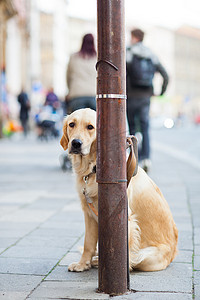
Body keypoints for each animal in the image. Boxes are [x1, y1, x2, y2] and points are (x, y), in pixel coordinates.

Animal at [59, 109, 178, 274]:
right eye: (72, 124)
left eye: (90, 127)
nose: (76, 143)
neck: (93, 168)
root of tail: (173, 254)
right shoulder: (88, 214)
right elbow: (88, 243)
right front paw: (83, 264)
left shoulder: (126, 218)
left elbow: (125, 253)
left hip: (147, 256)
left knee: (135, 259)